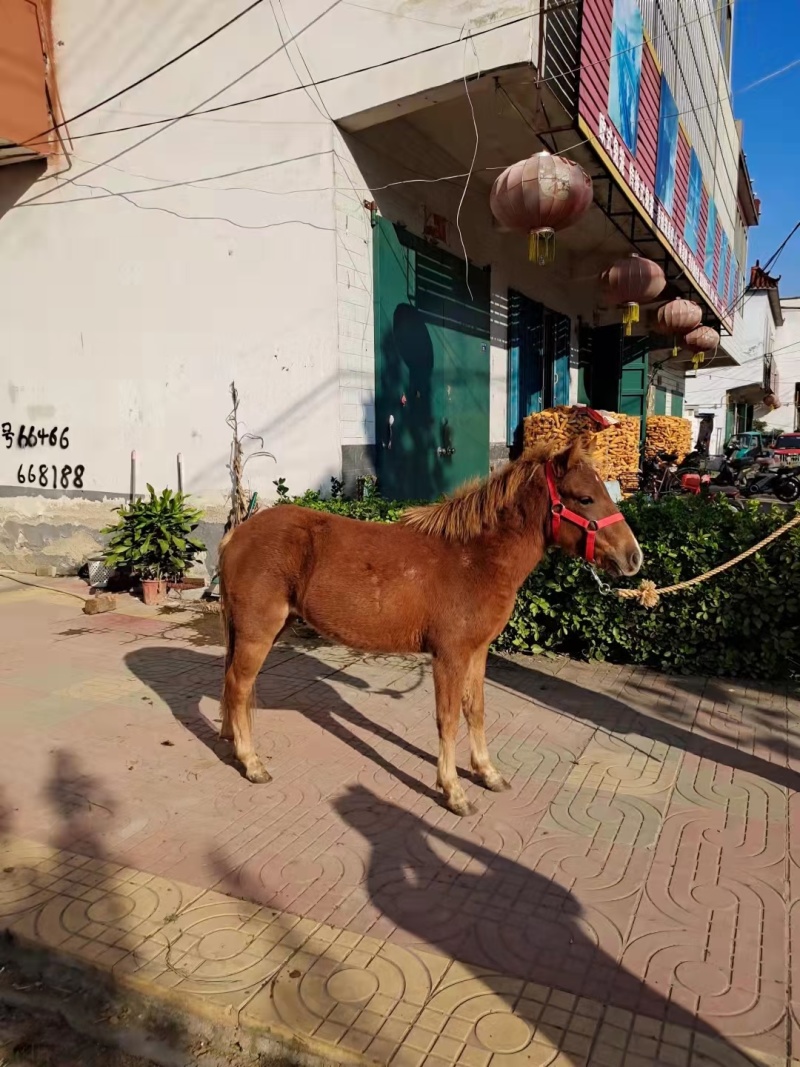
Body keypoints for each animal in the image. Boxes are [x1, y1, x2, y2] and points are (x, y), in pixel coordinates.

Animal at [217, 438, 642, 816]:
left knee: (233, 684)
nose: (633, 557)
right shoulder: (449, 656)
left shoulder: (477, 652)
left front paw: (487, 773)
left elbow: (476, 710)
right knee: (239, 685)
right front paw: (453, 791)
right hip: (258, 632)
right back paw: (251, 763)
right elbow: (448, 718)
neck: (475, 558)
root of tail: (237, 533)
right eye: (584, 498)